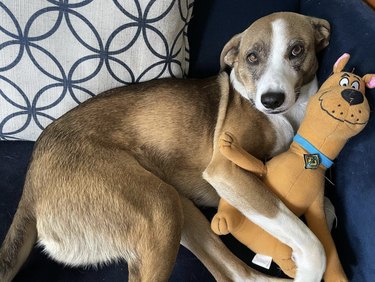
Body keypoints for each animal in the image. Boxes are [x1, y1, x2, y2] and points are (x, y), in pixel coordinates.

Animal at [1, 12, 332, 280]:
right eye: (251, 57)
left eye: (297, 50)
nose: (271, 100)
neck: (288, 115)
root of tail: (30, 187)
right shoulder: (225, 169)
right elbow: (312, 242)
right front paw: (309, 269)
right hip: (160, 207)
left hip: (177, 205)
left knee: (239, 275)